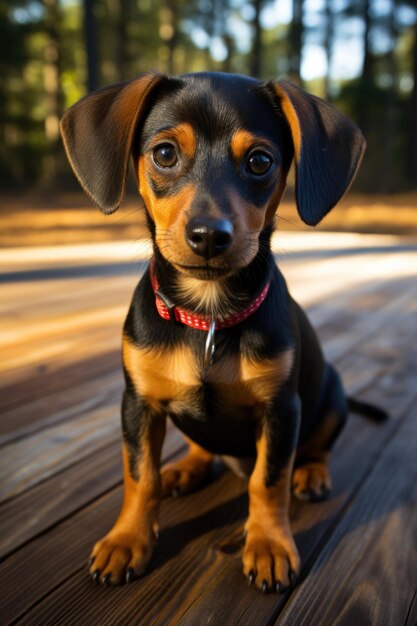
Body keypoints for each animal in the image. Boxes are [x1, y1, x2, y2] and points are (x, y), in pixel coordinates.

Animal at [60, 72, 386, 588]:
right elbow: (140, 476)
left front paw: (269, 544)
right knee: (199, 444)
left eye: (260, 161)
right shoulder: (137, 403)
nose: (210, 236)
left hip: (331, 392)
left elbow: (268, 480)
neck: (209, 313)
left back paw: (312, 474)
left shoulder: (282, 410)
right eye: (165, 153)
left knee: (316, 447)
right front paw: (127, 540)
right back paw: (188, 469)